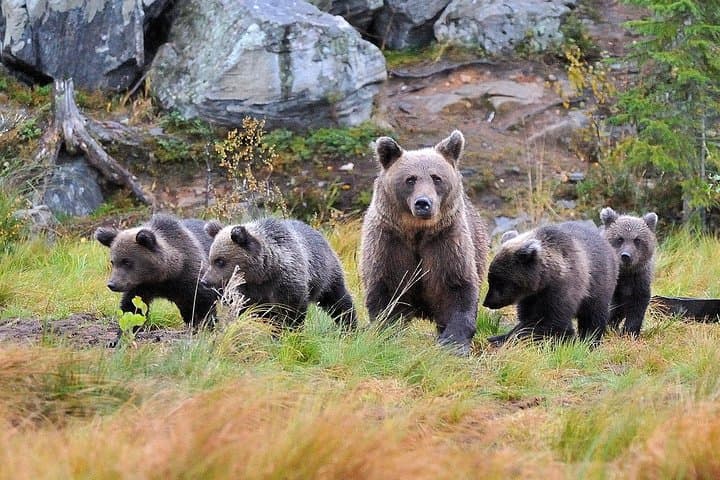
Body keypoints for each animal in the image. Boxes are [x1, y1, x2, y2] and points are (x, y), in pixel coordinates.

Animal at [95, 214, 218, 345]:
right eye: (113, 262)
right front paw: (119, 339)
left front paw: (207, 329)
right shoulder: (141, 287)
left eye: (127, 262)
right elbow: (131, 309)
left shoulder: (190, 277)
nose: (112, 284)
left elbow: (204, 302)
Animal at [200, 218, 356, 329]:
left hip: (325, 274)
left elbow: (292, 310)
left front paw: (288, 331)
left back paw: (349, 325)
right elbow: (253, 311)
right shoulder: (250, 291)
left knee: (338, 300)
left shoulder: (287, 280)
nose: (205, 281)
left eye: (220, 261)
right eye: (211, 259)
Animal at [359, 130, 489, 354]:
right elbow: (387, 291)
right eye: (410, 179)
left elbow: (457, 288)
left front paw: (453, 343)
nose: (423, 203)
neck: (417, 232)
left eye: (436, 178)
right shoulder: (388, 243)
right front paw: (387, 334)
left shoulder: (446, 242)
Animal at [483, 221, 619, 346]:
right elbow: (529, 316)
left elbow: (549, 320)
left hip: (598, 285)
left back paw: (590, 341)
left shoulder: (563, 288)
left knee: (593, 316)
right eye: (490, 280)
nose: (487, 302)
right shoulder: (530, 297)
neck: (545, 279)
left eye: (500, 281)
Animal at [600, 207, 658, 337]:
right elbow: (612, 306)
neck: (625, 273)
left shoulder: (639, 280)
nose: (626, 256)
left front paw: (630, 332)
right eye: (620, 238)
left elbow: (637, 308)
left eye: (637, 240)